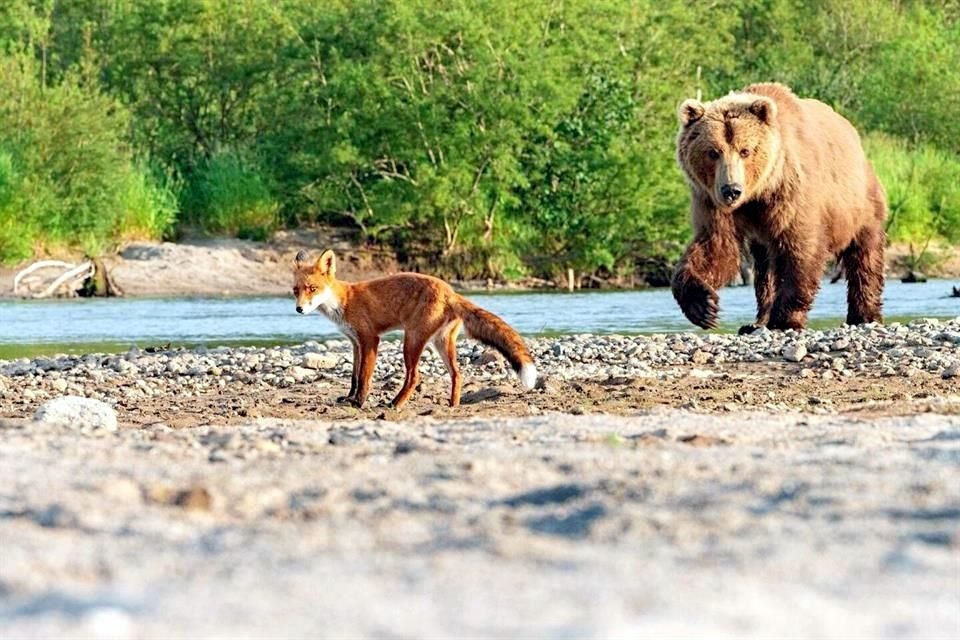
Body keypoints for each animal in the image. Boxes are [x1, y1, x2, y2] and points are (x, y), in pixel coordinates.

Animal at [292, 248, 536, 408]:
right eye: (296, 290)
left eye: (312, 288)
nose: (299, 309)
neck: (344, 301)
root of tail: (450, 291)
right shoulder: (355, 342)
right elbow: (354, 376)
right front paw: (350, 398)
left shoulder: (370, 339)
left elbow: (364, 377)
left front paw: (359, 402)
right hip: (441, 343)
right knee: (457, 374)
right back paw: (453, 405)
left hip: (411, 341)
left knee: (414, 376)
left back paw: (395, 403)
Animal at [668, 82, 884, 332]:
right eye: (713, 152)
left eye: (745, 150)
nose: (732, 190)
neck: (757, 193)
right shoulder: (712, 201)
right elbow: (716, 246)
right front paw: (703, 306)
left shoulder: (791, 193)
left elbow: (799, 250)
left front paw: (784, 319)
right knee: (764, 269)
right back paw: (755, 322)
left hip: (857, 203)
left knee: (864, 256)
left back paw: (864, 314)